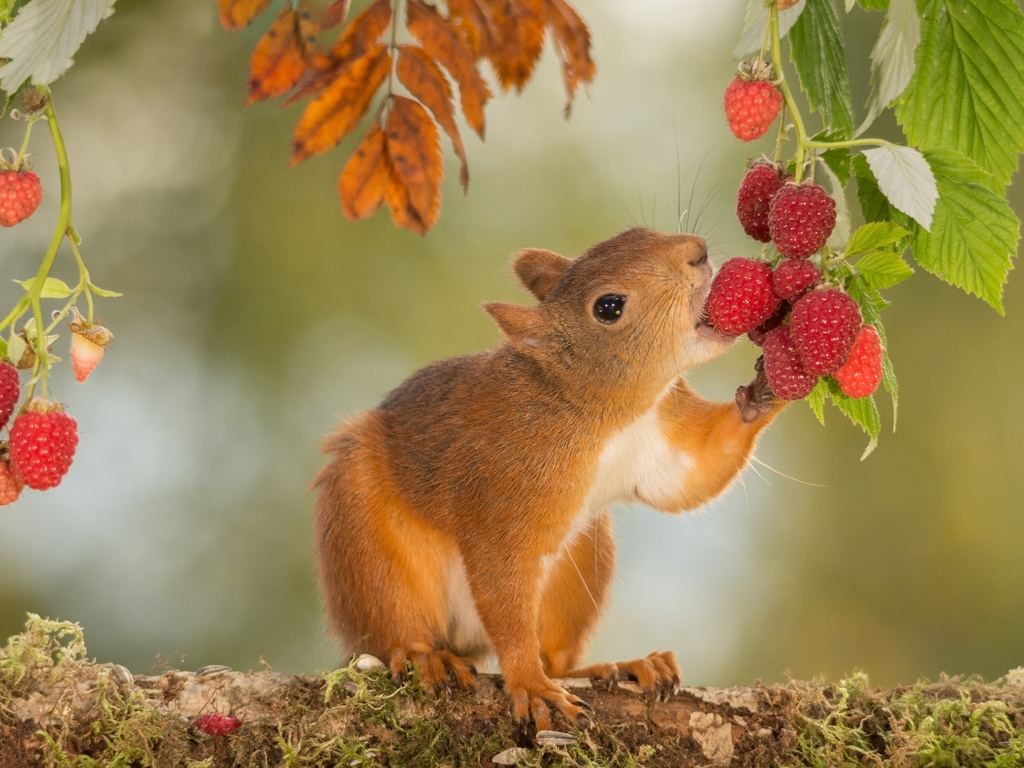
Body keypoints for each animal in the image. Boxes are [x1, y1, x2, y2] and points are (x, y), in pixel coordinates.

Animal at [315, 225, 778, 729]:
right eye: (609, 307)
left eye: (637, 232)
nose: (697, 251)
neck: (607, 414)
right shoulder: (502, 492)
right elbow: (504, 587)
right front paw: (529, 685)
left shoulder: (662, 438)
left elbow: (695, 474)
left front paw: (769, 385)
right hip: (367, 543)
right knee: (391, 630)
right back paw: (425, 657)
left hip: (582, 561)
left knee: (557, 657)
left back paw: (625, 665)